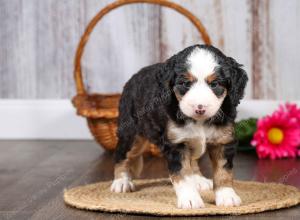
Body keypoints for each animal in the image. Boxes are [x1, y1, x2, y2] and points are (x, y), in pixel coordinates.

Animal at [110, 43, 248, 209]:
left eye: (214, 84)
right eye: (185, 84)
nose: (200, 108)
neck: (199, 121)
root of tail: (134, 77)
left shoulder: (223, 141)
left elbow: (224, 172)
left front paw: (227, 196)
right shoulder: (176, 143)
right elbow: (183, 174)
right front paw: (190, 199)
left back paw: (198, 179)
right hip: (132, 134)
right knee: (122, 155)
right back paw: (121, 181)